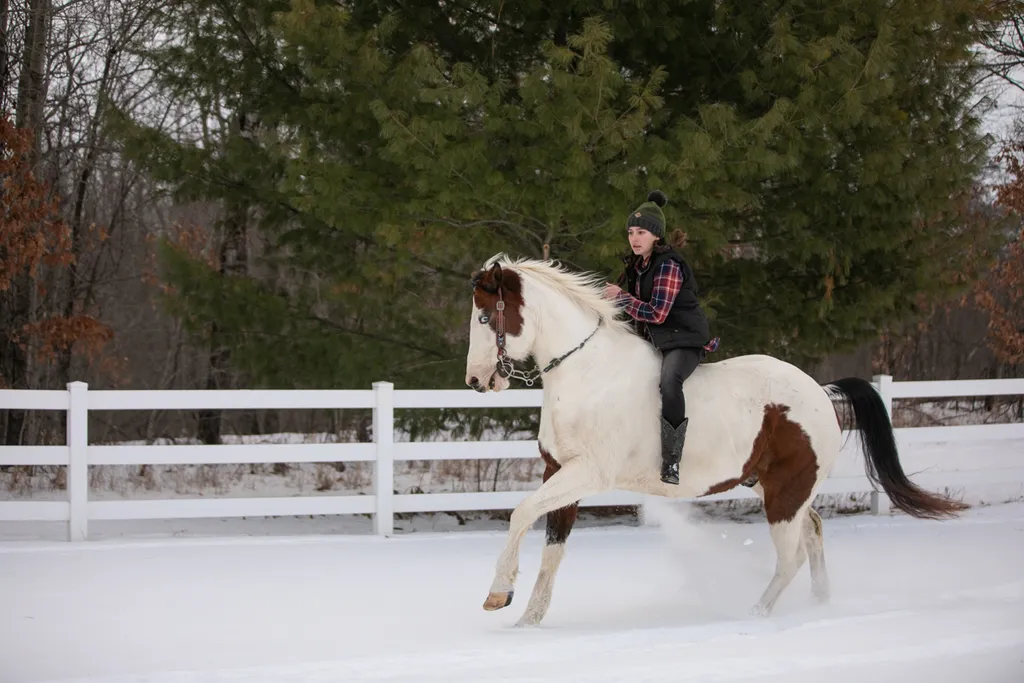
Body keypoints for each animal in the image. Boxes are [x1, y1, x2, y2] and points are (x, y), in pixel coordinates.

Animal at [464, 253, 967, 627]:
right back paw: (820, 605)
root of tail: (821, 393)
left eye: (486, 316)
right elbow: (552, 551)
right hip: (776, 487)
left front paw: (498, 593)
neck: (586, 371)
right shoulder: (558, 472)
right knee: (814, 532)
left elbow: (521, 513)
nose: (475, 381)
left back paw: (755, 615)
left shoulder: (586, 473)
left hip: (784, 496)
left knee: (791, 557)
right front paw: (527, 620)